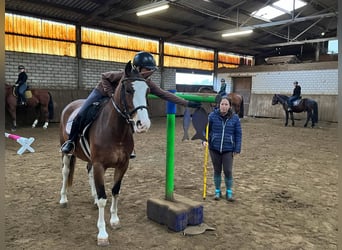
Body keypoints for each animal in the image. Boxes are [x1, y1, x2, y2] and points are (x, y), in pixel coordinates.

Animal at [58, 61, 151, 246]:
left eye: (147, 91)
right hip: (67, 153)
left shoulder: (123, 165)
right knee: (65, 172)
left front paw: (114, 220)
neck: (115, 131)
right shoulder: (100, 165)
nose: (143, 124)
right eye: (128, 90)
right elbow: (103, 198)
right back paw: (63, 199)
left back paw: (92, 198)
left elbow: (115, 191)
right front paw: (102, 234)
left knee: (88, 171)